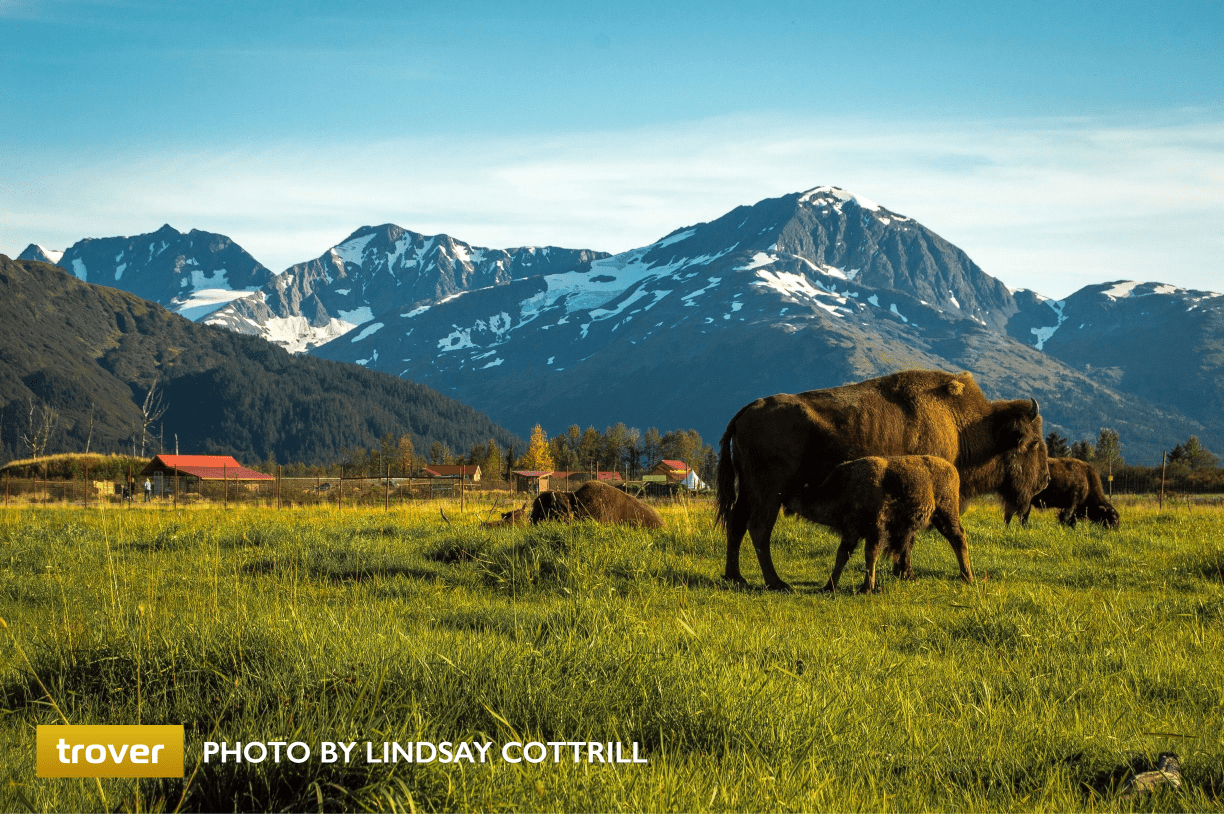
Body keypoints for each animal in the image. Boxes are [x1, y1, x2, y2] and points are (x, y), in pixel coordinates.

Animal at [788, 452, 969, 594]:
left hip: (946, 514)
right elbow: (842, 556)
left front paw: (866, 588)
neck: (845, 486)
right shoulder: (851, 532)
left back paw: (967, 577)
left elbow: (870, 555)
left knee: (958, 538)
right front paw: (828, 587)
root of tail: (952, 469)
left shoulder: (875, 530)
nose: (785, 500)